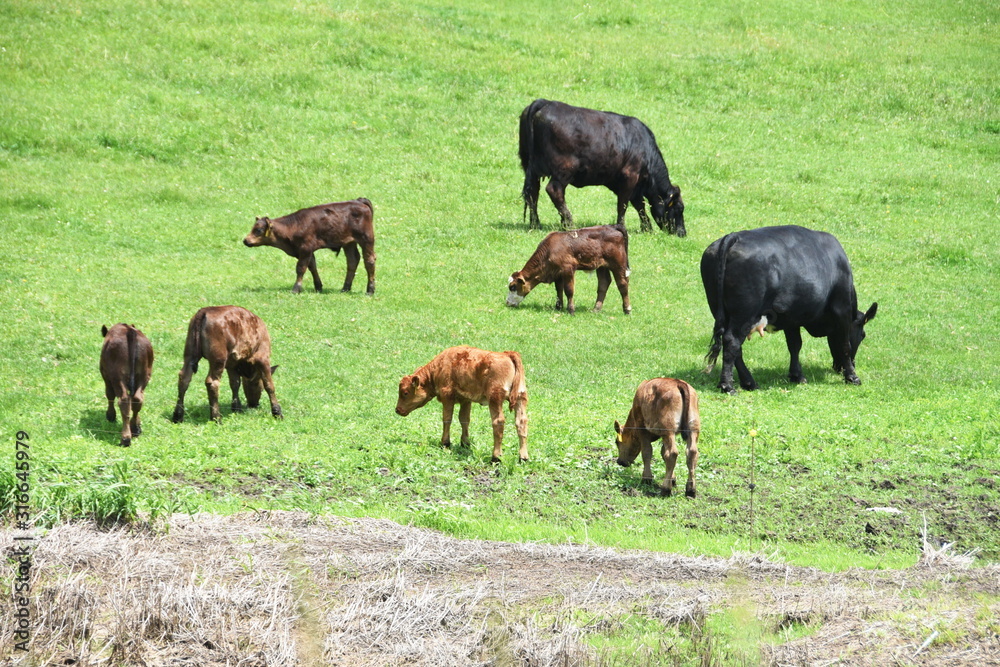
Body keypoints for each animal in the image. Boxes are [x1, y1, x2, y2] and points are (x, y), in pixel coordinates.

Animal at [244, 196, 376, 294]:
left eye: (259, 230)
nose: (245, 240)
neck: (294, 226)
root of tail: (358, 201)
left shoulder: (305, 249)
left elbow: (301, 268)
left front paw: (296, 289)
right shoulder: (307, 251)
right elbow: (312, 266)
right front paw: (318, 287)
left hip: (366, 240)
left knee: (369, 261)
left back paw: (370, 290)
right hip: (348, 243)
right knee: (352, 261)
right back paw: (345, 288)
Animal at [396, 348, 532, 462]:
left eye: (405, 392)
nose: (397, 410)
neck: (439, 368)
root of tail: (507, 354)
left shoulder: (447, 397)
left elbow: (447, 419)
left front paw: (445, 443)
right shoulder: (466, 400)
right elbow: (464, 419)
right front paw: (465, 443)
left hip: (495, 399)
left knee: (498, 422)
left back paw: (496, 457)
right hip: (520, 398)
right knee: (521, 422)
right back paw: (523, 457)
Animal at [520, 98, 684, 235]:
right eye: (679, 208)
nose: (682, 233)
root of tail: (545, 102)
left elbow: (639, 205)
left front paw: (647, 228)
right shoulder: (630, 175)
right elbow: (623, 204)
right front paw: (622, 226)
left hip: (531, 167)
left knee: (533, 192)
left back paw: (535, 224)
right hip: (564, 170)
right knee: (554, 190)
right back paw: (569, 223)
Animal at [700, 227, 880, 394]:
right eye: (863, 335)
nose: (838, 368)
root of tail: (734, 236)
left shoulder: (791, 317)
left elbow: (794, 344)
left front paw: (796, 375)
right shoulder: (842, 309)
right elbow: (845, 345)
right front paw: (852, 376)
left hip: (719, 309)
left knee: (734, 346)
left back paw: (749, 382)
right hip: (744, 313)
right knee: (732, 341)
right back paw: (728, 386)